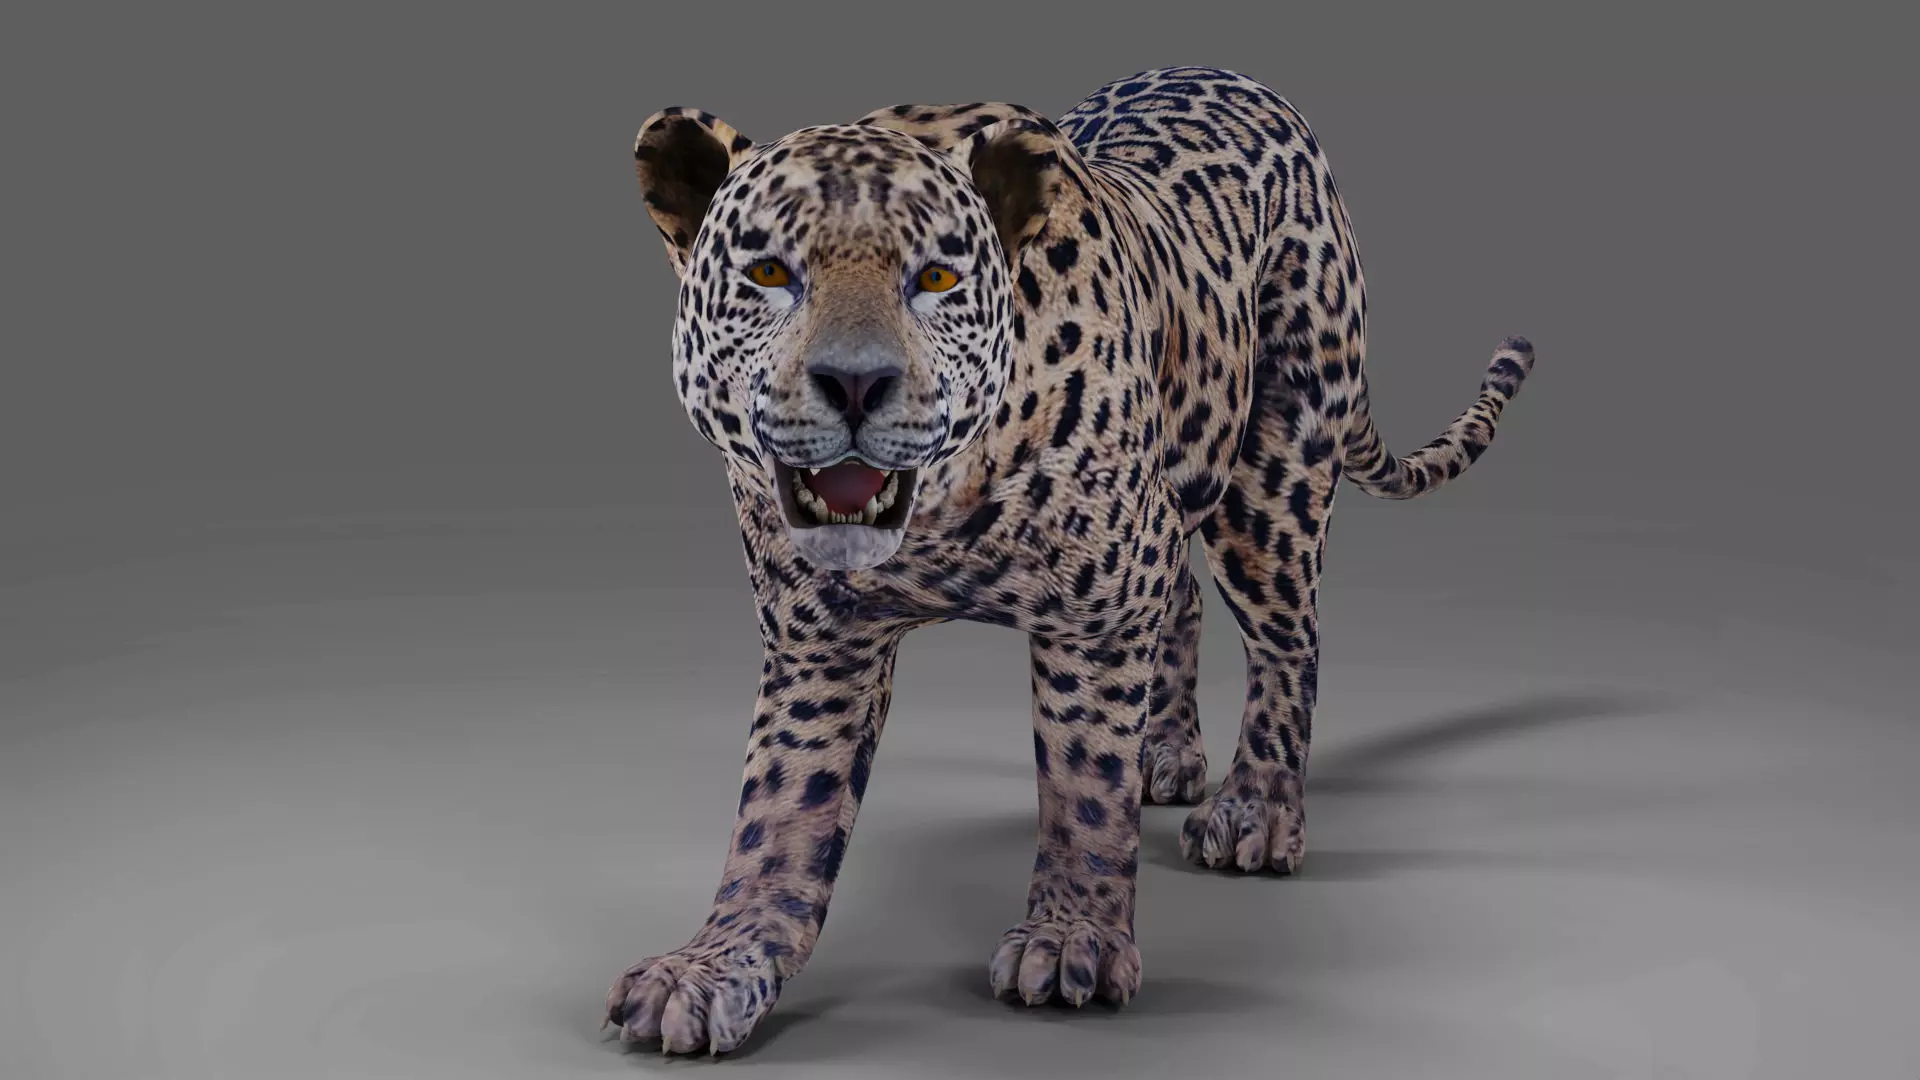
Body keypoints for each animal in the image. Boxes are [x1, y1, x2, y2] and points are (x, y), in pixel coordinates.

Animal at [604, 65, 1536, 1055]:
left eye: (937, 278)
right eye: (771, 273)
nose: (855, 385)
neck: (943, 508)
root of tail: (1248, 83)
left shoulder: (1098, 614)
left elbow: (1083, 780)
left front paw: (1070, 939)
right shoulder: (819, 641)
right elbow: (781, 808)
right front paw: (716, 966)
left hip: (1275, 474)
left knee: (1290, 641)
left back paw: (1258, 812)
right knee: (1186, 598)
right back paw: (1167, 755)